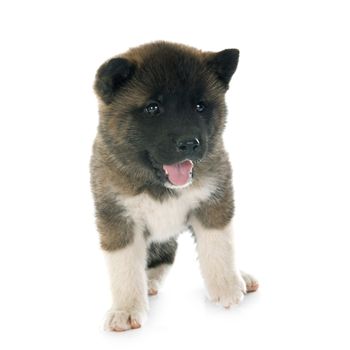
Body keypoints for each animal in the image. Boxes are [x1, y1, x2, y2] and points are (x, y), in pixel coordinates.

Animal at [91, 41, 258, 330]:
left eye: (200, 106)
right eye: (153, 108)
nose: (190, 144)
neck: (159, 184)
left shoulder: (214, 201)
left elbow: (219, 247)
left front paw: (226, 286)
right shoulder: (117, 218)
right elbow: (125, 268)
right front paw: (126, 309)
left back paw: (241, 278)